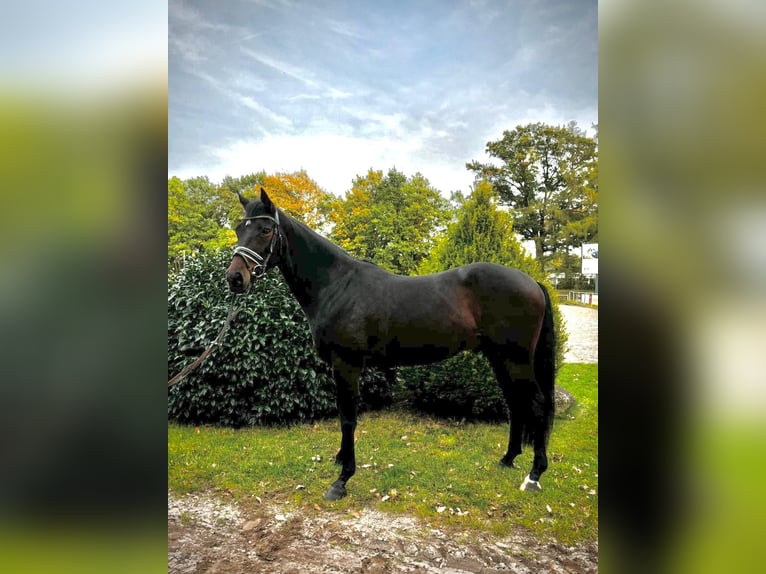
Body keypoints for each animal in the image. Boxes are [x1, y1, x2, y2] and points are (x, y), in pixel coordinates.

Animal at [225, 191, 556, 502]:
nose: (235, 278)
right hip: (499, 358)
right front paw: (341, 460)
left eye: (265, 230)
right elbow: (343, 415)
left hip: (516, 360)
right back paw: (508, 459)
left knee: (537, 405)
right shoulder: (338, 367)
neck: (337, 285)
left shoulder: (347, 365)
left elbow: (348, 418)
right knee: (515, 403)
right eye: (239, 229)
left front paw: (342, 480)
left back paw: (534, 475)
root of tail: (533, 283)